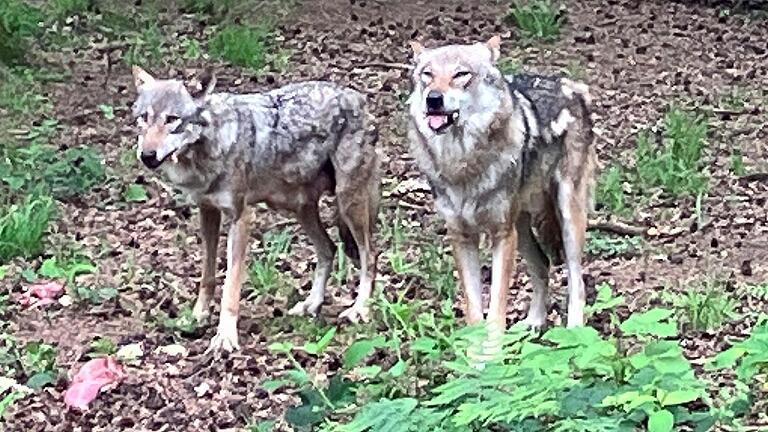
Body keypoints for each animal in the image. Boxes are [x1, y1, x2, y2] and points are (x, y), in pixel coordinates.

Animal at [130, 66, 380, 352]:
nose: (147, 155)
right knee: (328, 249)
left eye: (172, 119)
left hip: (348, 203)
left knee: (369, 256)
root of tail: (358, 98)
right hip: (300, 208)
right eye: (144, 118)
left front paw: (225, 337)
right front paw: (196, 316)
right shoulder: (207, 211)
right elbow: (207, 276)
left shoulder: (241, 217)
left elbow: (230, 286)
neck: (213, 143)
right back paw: (311, 304)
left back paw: (359, 309)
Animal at [408, 36, 592, 338]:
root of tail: (570, 85)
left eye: (461, 74)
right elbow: (474, 313)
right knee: (542, 265)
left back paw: (575, 332)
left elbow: (495, 311)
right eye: (428, 75)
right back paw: (534, 322)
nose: (433, 99)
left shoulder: (501, 235)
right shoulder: (461, 237)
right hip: (521, 226)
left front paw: (493, 350)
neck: (463, 163)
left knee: (576, 278)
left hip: (567, 215)